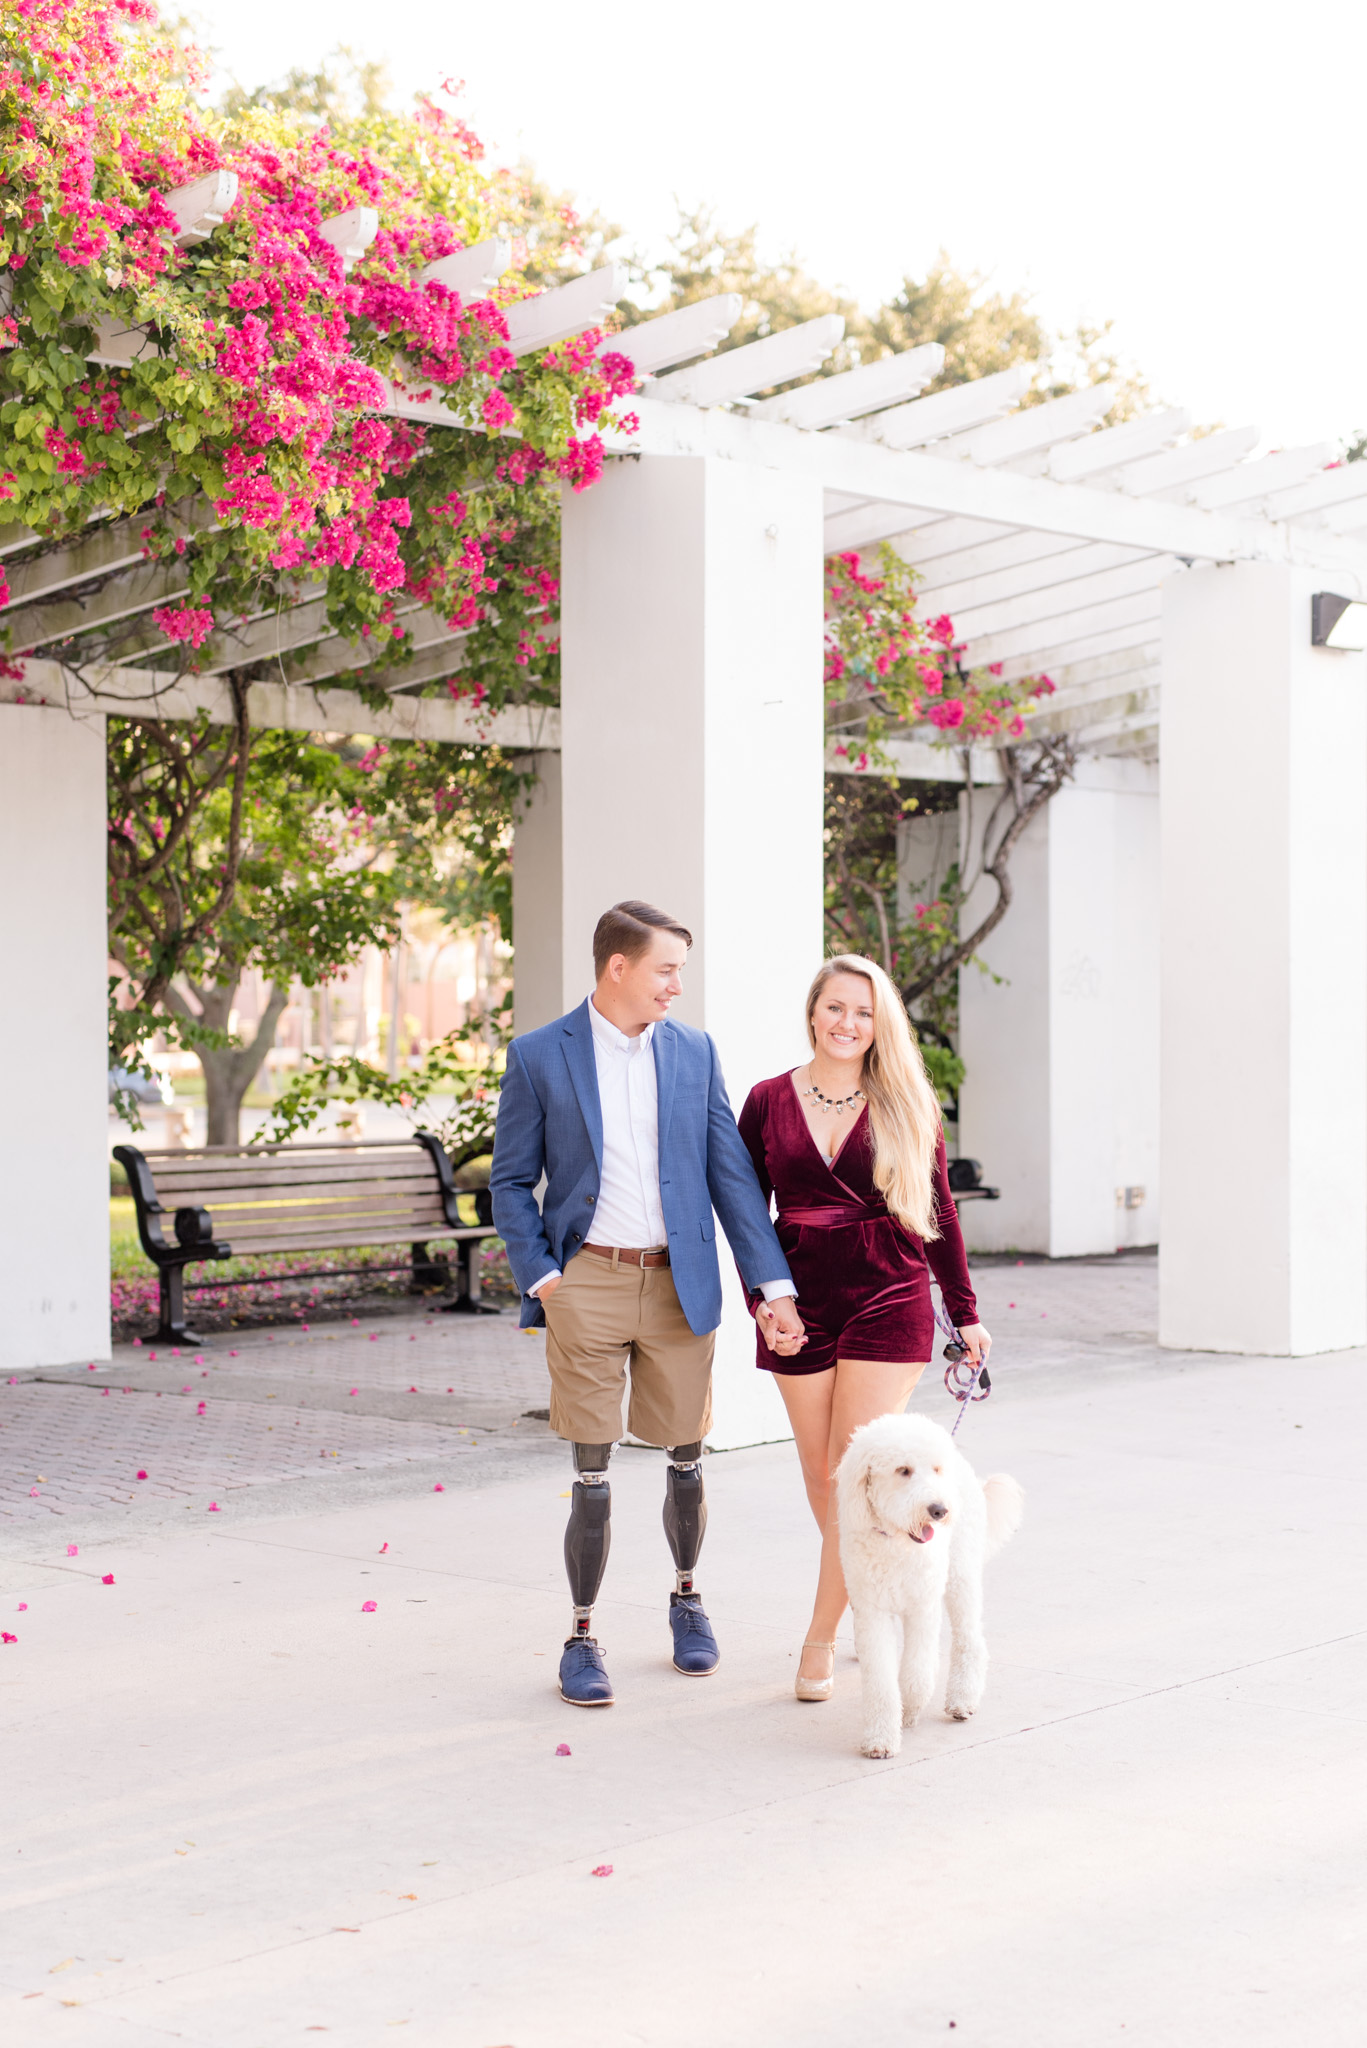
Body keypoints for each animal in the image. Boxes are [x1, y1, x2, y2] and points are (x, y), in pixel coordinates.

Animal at [836, 1409, 1024, 1761]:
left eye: (935, 1470)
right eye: (903, 1470)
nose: (939, 1510)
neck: (896, 1544)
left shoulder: (922, 1607)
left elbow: (918, 1671)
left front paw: (910, 1708)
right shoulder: (872, 1613)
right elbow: (881, 1682)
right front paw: (881, 1737)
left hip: (960, 1574)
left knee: (969, 1638)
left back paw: (962, 1699)